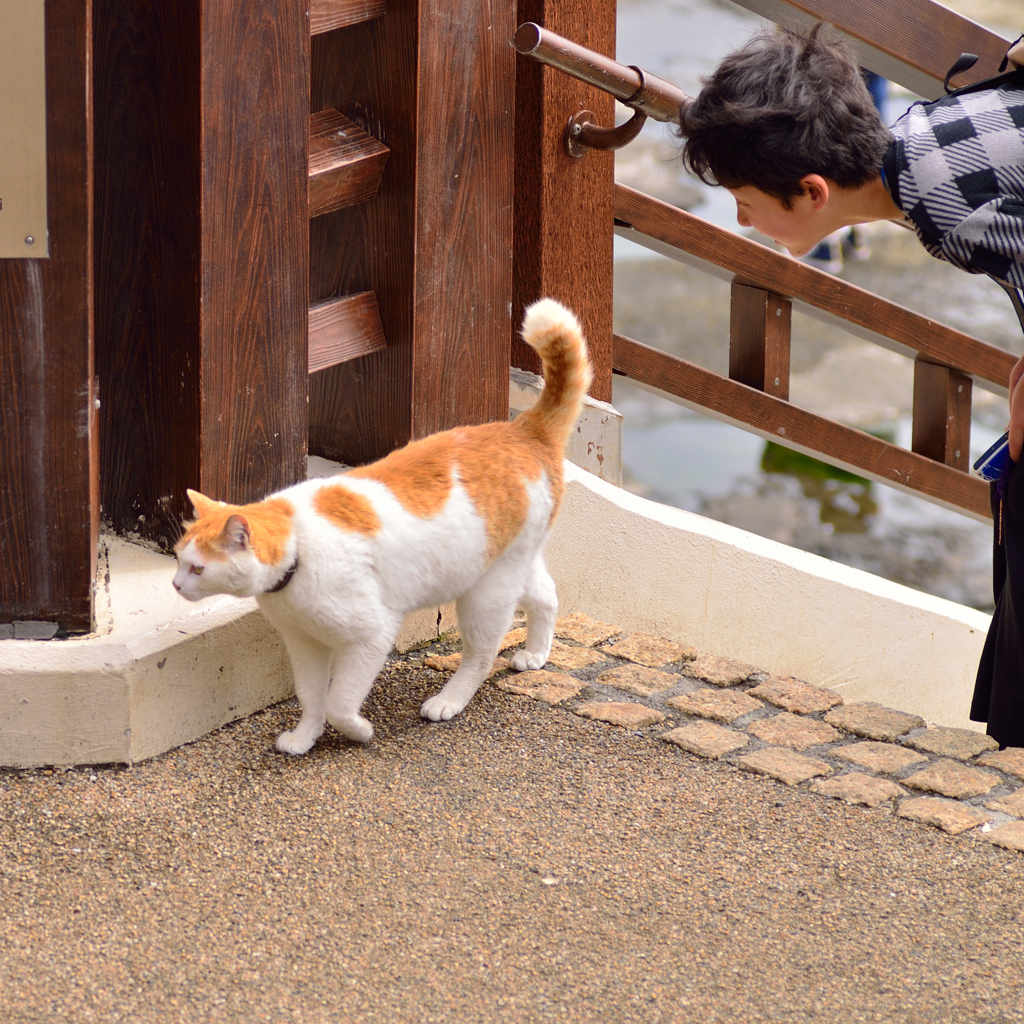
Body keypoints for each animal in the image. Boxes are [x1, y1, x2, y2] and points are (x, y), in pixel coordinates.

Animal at [171, 296, 593, 753]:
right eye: (177, 559)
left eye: (197, 568)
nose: (174, 584)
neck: (300, 549)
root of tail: (524, 430)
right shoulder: (304, 643)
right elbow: (311, 696)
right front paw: (304, 737)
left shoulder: (371, 634)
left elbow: (339, 701)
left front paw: (358, 731)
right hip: (505, 564)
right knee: (545, 593)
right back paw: (536, 654)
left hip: (485, 595)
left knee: (481, 656)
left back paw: (448, 700)